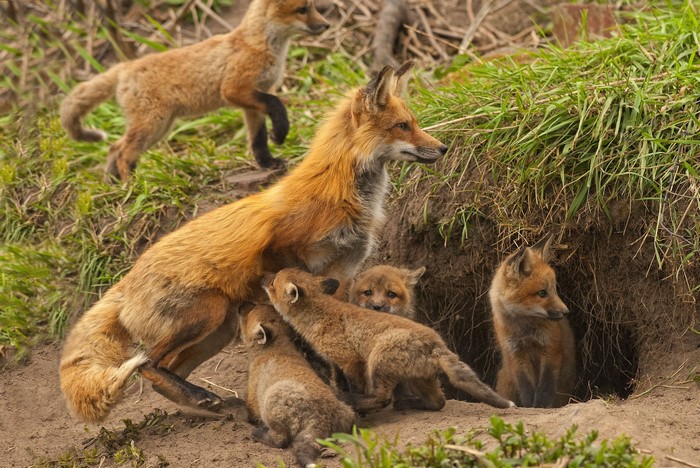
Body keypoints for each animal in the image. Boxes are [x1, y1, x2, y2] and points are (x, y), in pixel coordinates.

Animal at [59, 62, 448, 422]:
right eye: (403, 126)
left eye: (413, 122)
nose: (442, 148)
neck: (341, 192)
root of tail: (125, 281)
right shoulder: (280, 251)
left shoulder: (343, 273)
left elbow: (336, 338)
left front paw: (346, 388)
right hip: (208, 313)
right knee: (148, 364)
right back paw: (201, 397)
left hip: (220, 329)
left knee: (165, 371)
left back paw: (203, 403)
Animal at [60, 0, 329, 181]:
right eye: (302, 9)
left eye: (313, 6)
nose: (326, 25)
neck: (261, 45)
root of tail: (125, 66)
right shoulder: (235, 89)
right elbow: (277, 105)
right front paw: (281, 132)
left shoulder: (253, 97)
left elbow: (258, 139)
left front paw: (268, 163)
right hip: (153, 124)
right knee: (123, 152)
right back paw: (133, 184)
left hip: (159, 127)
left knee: (114, 148)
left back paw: (114, 183)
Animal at [240, 304, 355, 467]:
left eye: (249, 313)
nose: (241, 305)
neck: (276, 348)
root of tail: (322, 419)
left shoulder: (253, 397)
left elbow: (251, 412)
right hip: (347, 413)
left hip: (272, 401)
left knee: (280, 440)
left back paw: (258, 433)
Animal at [262, 268, 515, 414]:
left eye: (273, 283)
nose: (262, 277)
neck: (321, 314)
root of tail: (437, 345)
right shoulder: (336, 362)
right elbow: (338, 379)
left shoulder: (351, 359)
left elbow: (357, 385)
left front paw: (352, 401)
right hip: (419, 377)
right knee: (439, 402)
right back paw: (411, 404)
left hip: (378, 359)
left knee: (383, 398)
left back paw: (356, 403)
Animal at [490, 235, 577, 408]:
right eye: (542, 293)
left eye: (554, 290)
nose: (566, 312)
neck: (525, 331)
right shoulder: (516, 354)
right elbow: (526, 386)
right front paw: (529, 405)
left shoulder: (551, 349)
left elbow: (546, 385)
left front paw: (542, 405)